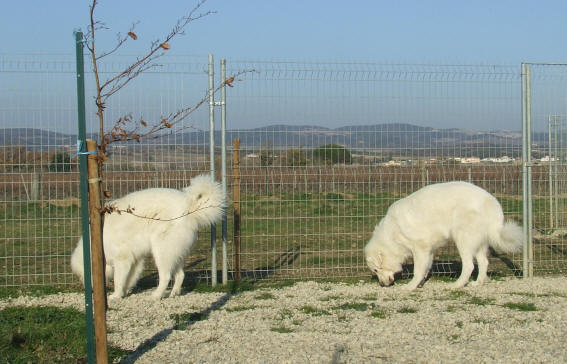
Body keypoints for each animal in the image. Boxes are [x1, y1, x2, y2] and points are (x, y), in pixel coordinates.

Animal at [69, 175, 224, 300]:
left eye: (84, 276)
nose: (90, 291)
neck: (96, 245)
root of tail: (189, 209)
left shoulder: (123, 260)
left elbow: (119, 281)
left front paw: (116, 296)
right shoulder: (135, 261)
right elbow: (129, 279)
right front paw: (125, 292)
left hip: (161, 251)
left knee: (166, 276)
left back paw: (156, 296)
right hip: (175, 253)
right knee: (180, 275)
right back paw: (173, 293)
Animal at [364, 182, 524, 290]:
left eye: (376, 270)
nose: (382, 284)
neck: (392, 233)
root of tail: (492, 203)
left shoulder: (420, 248)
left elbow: (418, 270)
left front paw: (411, 286)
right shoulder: (429, 250)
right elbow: (426, 268)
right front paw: (420, 283)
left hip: (463, 240)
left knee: (469, 265)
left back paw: (457, 285)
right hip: (478, 243)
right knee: (484, 263)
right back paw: (477, 283)